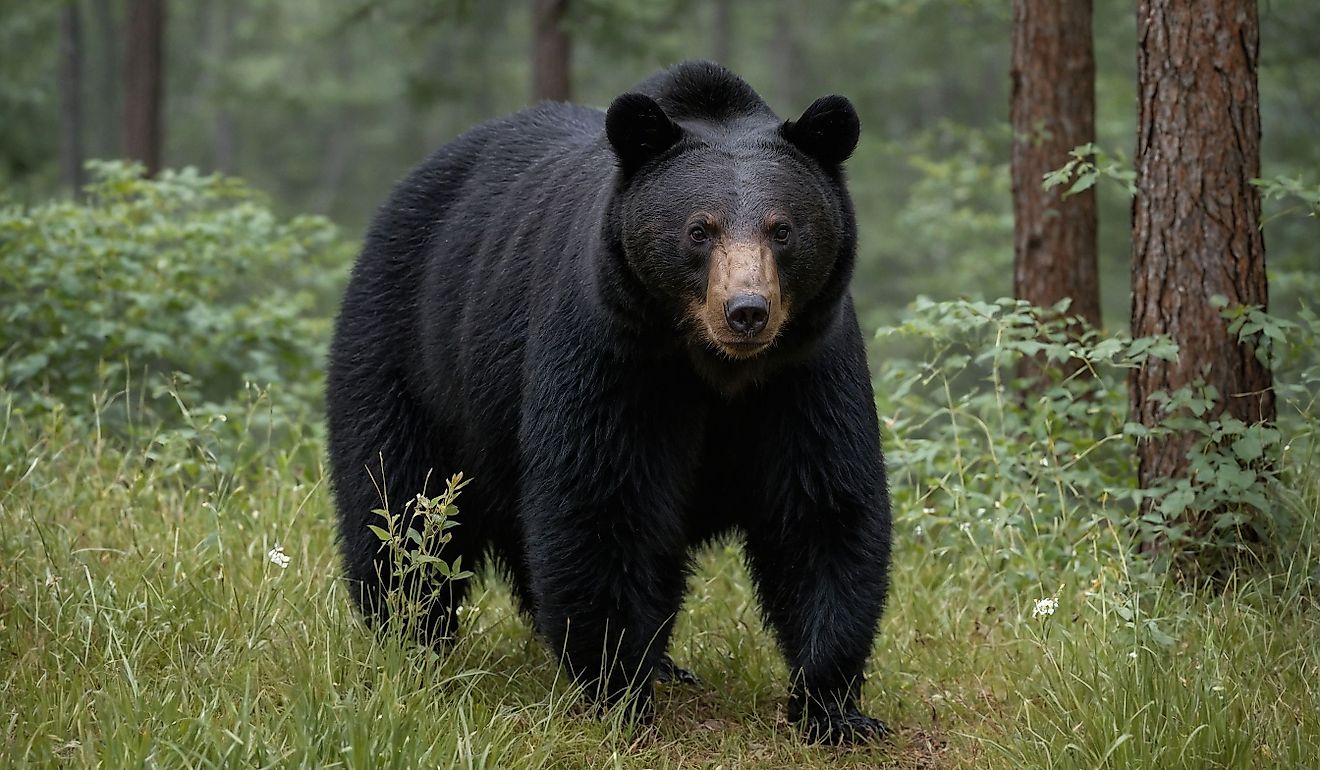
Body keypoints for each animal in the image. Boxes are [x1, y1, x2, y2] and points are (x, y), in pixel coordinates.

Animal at [324, 61, 892, 744]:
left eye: (782, 229)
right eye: (699, 230)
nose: (747, 312)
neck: (713, 368)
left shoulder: (803, 368)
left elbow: (823, 508)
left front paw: (834, 707)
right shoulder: (612, 354)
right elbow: (601, 502)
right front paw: (620, 695)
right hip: (412, 351)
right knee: (403, 508)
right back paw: (410, 640)